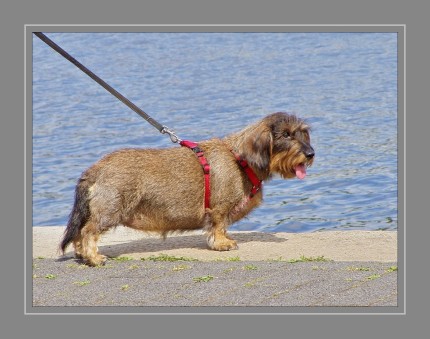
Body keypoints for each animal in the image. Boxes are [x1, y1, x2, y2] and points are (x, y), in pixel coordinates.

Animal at [59, 113, 312, 266]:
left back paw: (82, 254)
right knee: (88, 231)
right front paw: (222, 243)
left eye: (302, 132)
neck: (239, 158)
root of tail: (96, 168)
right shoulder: (219, 209)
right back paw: (94, 257)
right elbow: (218, 226)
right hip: (109, 211)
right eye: (286, 134)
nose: (311, 154)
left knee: (80, 232)